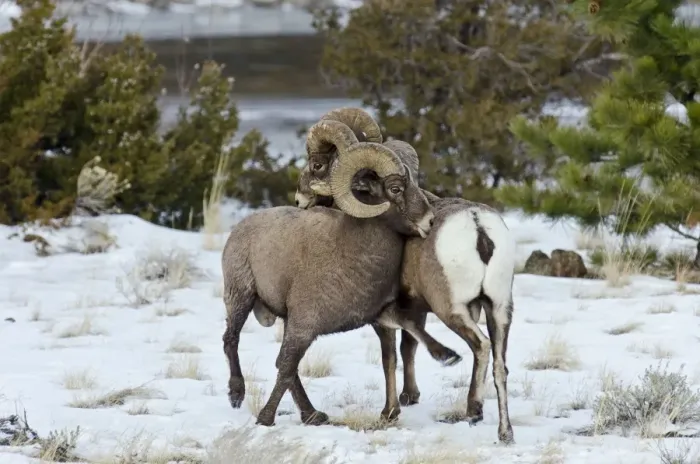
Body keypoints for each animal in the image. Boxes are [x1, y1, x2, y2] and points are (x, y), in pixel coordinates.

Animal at [221, 127, 458, 428]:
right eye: (395, 188)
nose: (429, 221)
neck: (353, 255)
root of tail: (241, 227)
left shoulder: (380, 314)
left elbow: (409, 333)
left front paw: (448, 356)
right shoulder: (303, 326)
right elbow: (285, 367)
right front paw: (265, 419)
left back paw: (313, 415)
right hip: (240, 297)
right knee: (232, 340)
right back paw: (237, 395)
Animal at [295, 139, 516, 444]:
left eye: (317, 164)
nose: (299, 200)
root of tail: (478, 227)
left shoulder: (384, 315)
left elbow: (390, 358)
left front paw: (389, 412)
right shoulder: (416, 310)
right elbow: (409, 346)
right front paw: (410, 396)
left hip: (452, 310)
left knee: (481, 347)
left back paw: (474, 411)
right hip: (499, 309)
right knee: (500, 365)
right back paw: (505, 433)